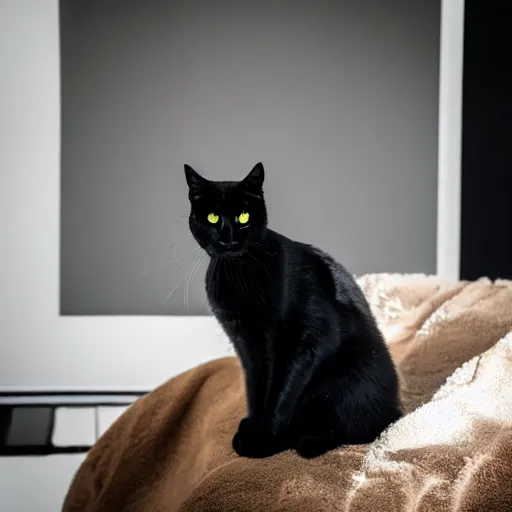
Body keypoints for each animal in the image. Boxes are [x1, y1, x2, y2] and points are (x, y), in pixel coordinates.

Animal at [183, 162, 400, 458]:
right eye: (213, 217)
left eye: (243, 216)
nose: (229, 238)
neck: (239, 272)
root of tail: (397, 407)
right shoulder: (247, 347)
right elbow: (256, 393)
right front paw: (254, 430)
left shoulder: (307, 342)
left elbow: (280, 397)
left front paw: (264, 443)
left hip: (343, 379)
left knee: (360, 429)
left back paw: (307, 441)